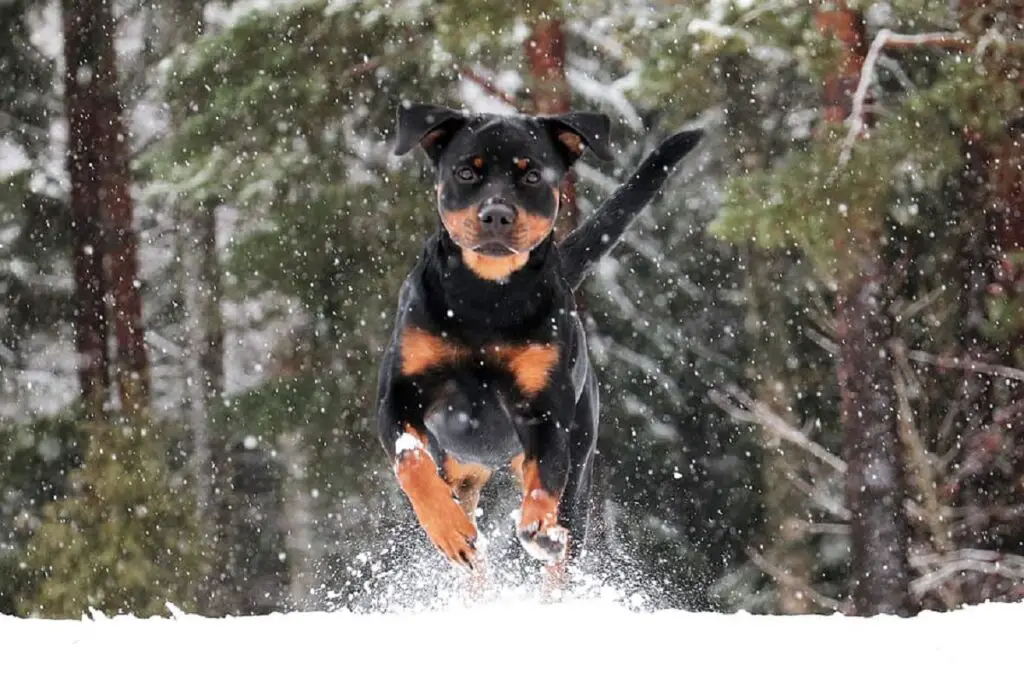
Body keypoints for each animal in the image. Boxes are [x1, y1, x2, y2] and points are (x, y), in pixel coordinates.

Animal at [376, 101, 704, 581]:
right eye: (466, 172)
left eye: (532, 176)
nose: (496, 213)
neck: (486, 301)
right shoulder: (400, 396)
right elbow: (411, 461)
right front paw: (450, 530)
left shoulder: (545, 414)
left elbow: (543, 487)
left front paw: (538, 530)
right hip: (462, 469)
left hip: (580, 466)